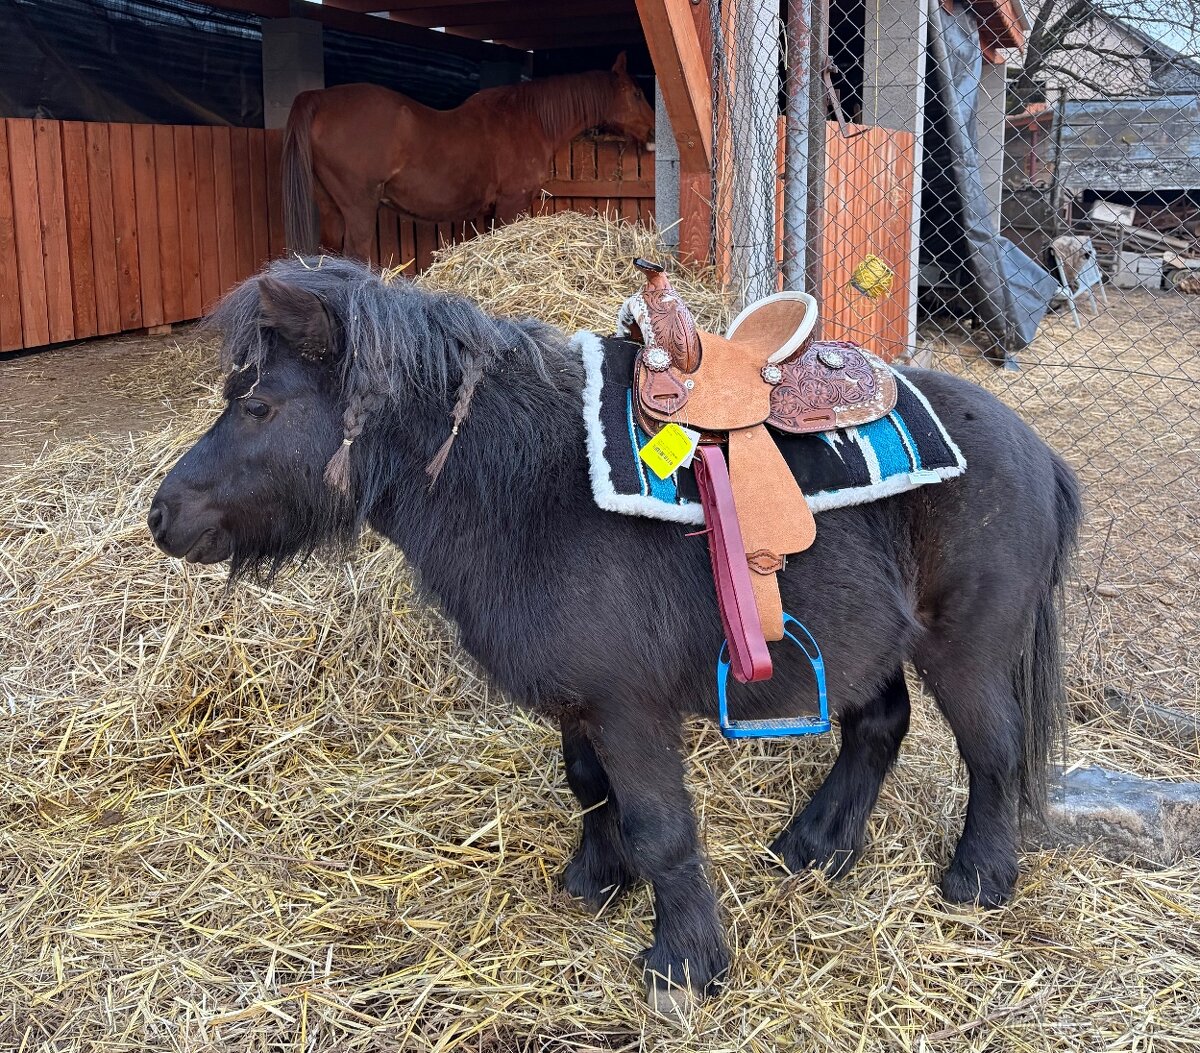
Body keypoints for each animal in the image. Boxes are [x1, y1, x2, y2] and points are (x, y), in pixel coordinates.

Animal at [147, 257, 1082, 1011]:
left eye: (258, 404)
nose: (163, 515)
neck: (526, 486)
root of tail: (1039, 449)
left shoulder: (630, 710)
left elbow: (662, 825)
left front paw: (686, 963)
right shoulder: (581, 702)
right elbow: (591, 787)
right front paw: (597, 881)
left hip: (965, 650)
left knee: (993, 750)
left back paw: (977, 877)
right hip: (868, 640)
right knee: (879, 726)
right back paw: (815, 846)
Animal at [282, 55, 655, 260]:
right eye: (637, 93)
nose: (653, 135)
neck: (528, 118)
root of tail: (317, 98)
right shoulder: (511, 204)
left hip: (330, 208)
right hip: (359, 208)